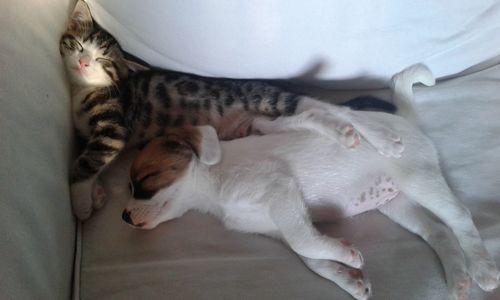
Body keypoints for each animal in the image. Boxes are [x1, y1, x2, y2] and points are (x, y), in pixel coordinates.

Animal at [60, 0, 402, 220]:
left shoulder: (113, 127)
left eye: (102, 61)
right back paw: (346, 135)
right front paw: (96, 194)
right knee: (310, 116)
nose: (84, 63)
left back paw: (381, 140)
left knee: (336, 109)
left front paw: (80, 203)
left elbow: (87, 161)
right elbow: (93, 161)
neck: (82, 92)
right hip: (263, 122)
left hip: (269, 100)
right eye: (78, 46)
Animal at [122, 65, 500, 300]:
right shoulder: (279, 224)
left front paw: (348, 256)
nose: (123, 218)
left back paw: (482, 269)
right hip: (399, 204)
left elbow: (304, 242)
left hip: (421, 181)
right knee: (439, 232)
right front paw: (347, 276)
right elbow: (310, 256)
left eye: (146, 180)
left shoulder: (282, 192)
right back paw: (458, 279)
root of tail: (405, 121)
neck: (212, 186)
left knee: (460, 218)